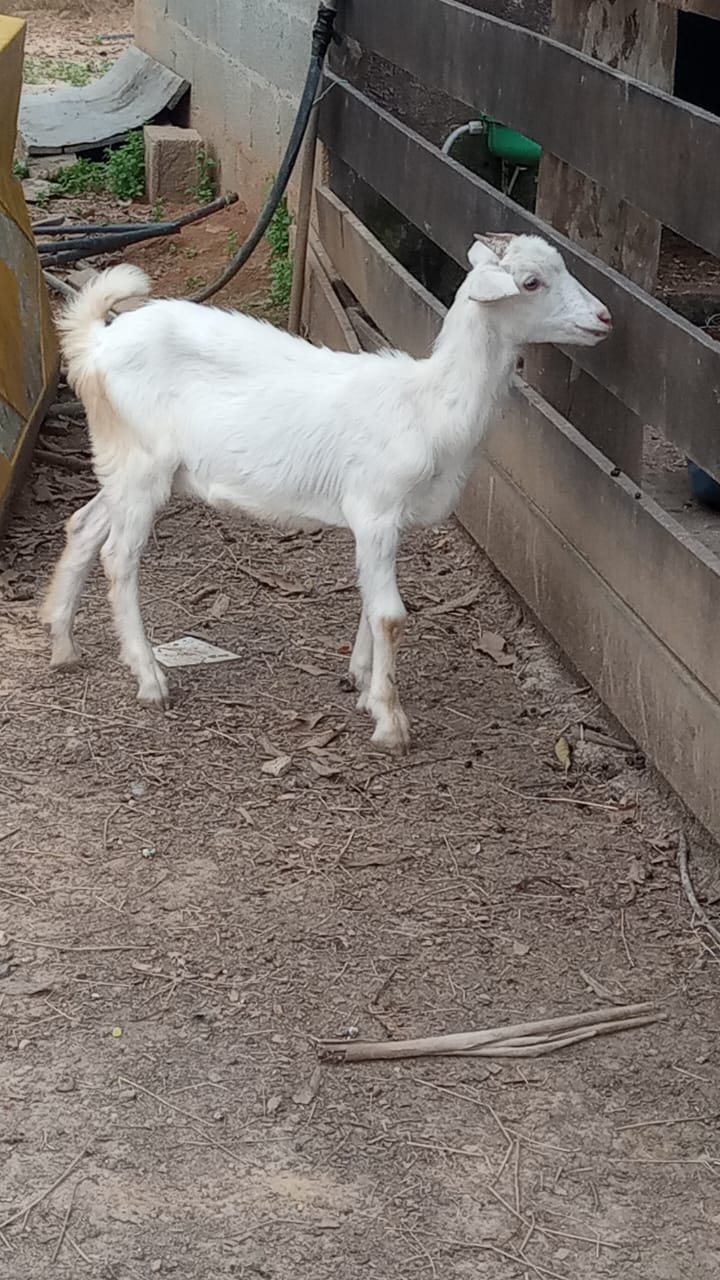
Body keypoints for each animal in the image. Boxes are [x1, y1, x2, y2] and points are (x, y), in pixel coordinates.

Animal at [42, 232, 612, 753]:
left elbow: (369, 600)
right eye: (531, 282)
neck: (429, 405)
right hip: (142, 464)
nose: (604, 318)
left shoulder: (389, 521)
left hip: (125, 464)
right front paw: (390, 721)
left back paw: (63, 642)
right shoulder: (376, 507)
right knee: (119, 556)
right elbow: (390, 615)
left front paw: (360, 680)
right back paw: (149, 677)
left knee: (84, 525)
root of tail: (93, 344)